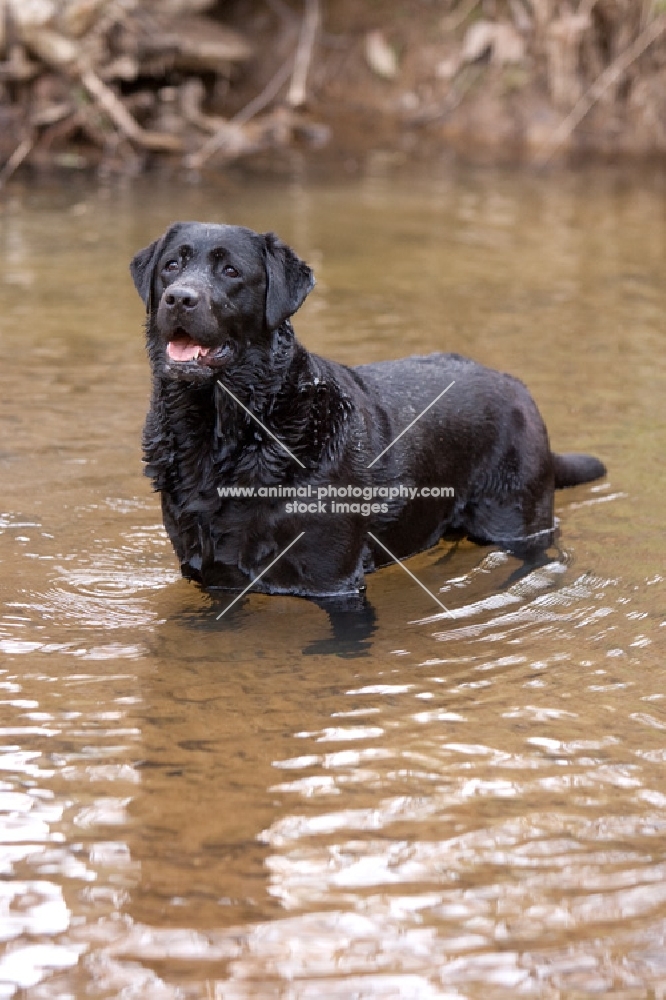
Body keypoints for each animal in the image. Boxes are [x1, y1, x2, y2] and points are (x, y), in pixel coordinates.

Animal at [130, 223, 600, 596]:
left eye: (230, 271)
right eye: (171, 266)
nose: (179, 298)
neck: (222, 431)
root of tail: (514, 383)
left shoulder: (333, 580)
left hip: (516, 520)